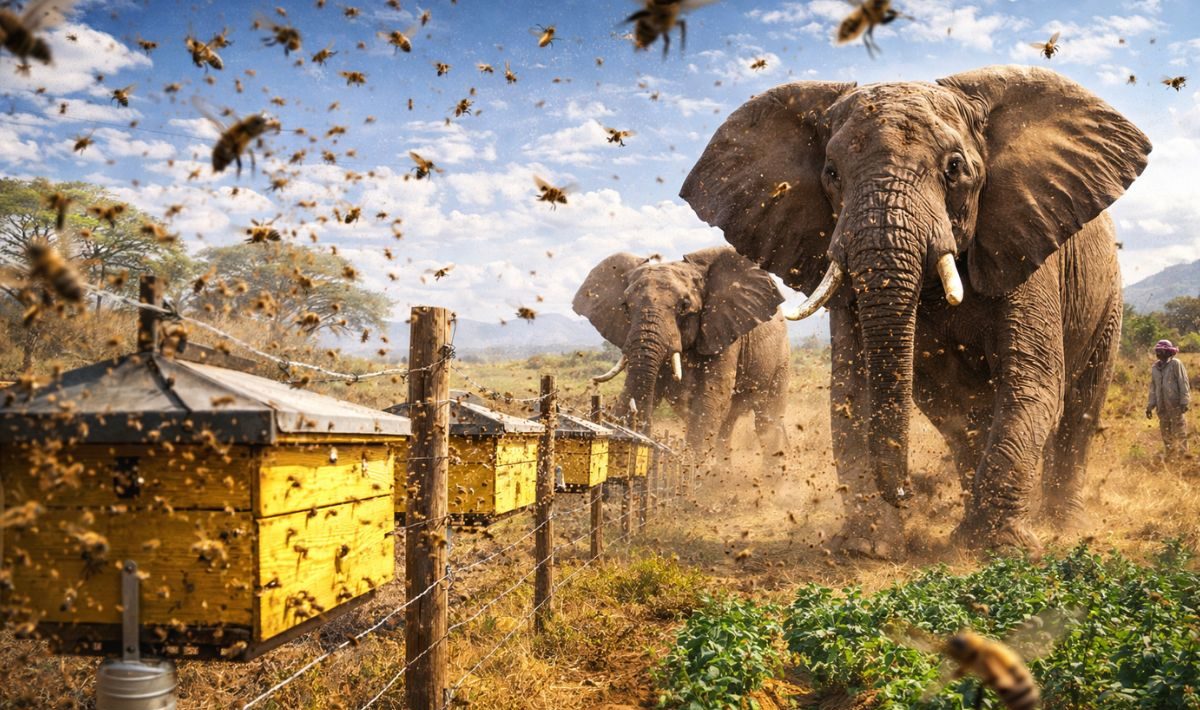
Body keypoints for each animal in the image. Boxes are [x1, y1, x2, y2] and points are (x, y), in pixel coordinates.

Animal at [572, 246, 790, 465]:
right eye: (625, 306)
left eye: (684, 306)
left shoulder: (723, 331)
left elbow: (710, 398)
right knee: (726, 426)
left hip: (781, 360)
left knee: (766, 423)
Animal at [680, 65, 1151, 556]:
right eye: (831, 173)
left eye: (954, 168)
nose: (906, 492)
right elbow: (854, 393)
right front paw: (870, 547)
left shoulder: (1027, 243)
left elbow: (1032, 383)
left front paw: (1000, 549)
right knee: (961, 415)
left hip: (1107, 302)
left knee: (1081, 407)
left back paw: (1062, 524)